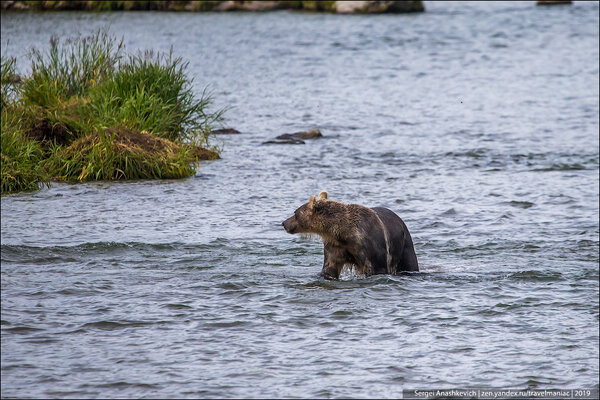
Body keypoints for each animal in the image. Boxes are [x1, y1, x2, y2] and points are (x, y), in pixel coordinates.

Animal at [282, 190, 418, 278]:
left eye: (295, 213)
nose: (284, 223)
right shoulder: (335, 247)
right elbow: (329, 268)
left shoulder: (371, 247)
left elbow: (379, 268)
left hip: (404, 245)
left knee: (409, 263)